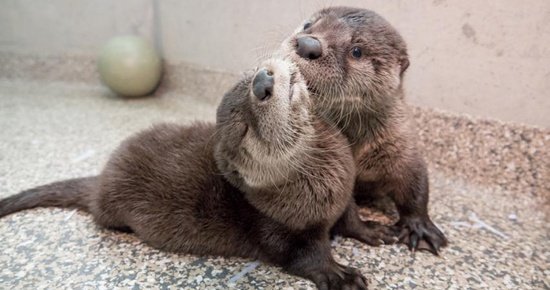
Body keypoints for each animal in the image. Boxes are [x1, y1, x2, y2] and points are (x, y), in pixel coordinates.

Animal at [0, 58, 380, 288]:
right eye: (245, 129)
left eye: (248, 81)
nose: (262, 81)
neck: (324, 185)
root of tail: (102, 177)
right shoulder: (280, 227)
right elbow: (301, 256)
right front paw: (337, 273)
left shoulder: (345, 191)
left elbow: (350, 216)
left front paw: (372, 229)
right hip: (111, 207)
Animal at [282, 6, 450, 255]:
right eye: (308, 25)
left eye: (357, 51)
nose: (307, 44)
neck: (359, 149)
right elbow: (341, 206)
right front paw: (369, 230)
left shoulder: (403, 144)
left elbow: (416, 184)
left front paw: (419, 228)